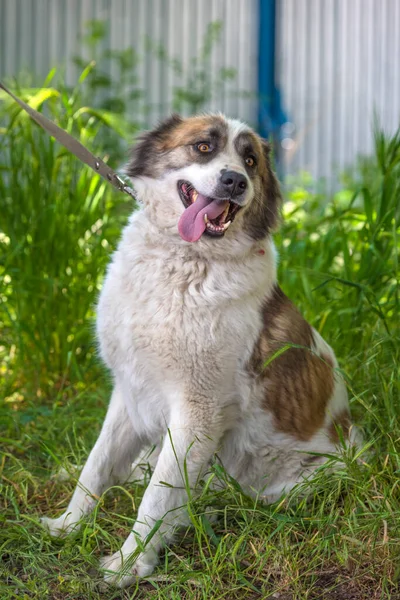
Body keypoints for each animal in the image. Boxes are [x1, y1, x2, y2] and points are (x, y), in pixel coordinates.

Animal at [43, 112, 356, 584]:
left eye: (250, 161)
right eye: (204, 147)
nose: (234, 181)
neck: (183, 260)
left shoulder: (197, 410)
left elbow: (157, 496)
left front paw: (131, 564)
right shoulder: (130, 393)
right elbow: (95, 466)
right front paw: (69, 525)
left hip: (311, 478)